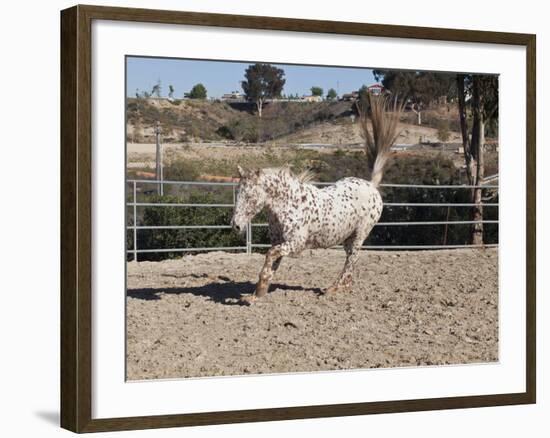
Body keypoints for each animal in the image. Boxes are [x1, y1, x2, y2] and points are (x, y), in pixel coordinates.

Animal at [231, 163, 386, 302]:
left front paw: (260, 288)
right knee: (351, 259)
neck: (290, 205)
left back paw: (333, 289)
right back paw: (343, 285)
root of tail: (371, 186)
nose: (235, 225)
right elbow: (272, 263)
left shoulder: (295, 245)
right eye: (237, 192)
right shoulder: (279, 243)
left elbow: (270, 255)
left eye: (249, 196)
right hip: (347, 238)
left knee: (352, 258)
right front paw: (256, 294)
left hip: (359, 234)